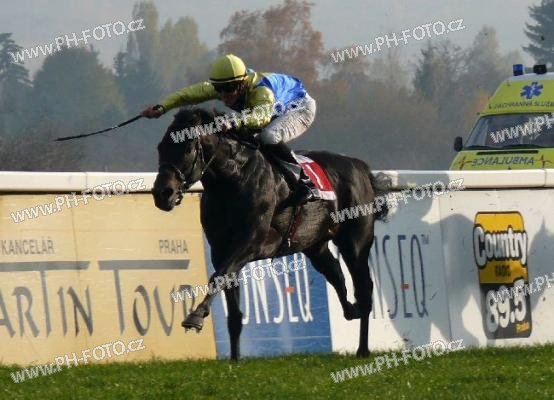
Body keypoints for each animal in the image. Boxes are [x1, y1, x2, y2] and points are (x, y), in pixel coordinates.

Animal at [152, 107, 389, 361]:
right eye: (160, 147)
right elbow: (232, 305)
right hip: (315, 244)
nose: (162, 194)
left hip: (355, 243)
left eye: (187, 149)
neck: (233, 178)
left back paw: (362, 348)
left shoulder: (251, 242)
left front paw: (195, 316)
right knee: (335, 272)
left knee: (364, 289)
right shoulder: (220, 249)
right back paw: (350, 311)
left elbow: (218, 277)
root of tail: (360, 167)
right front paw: (234, 359)